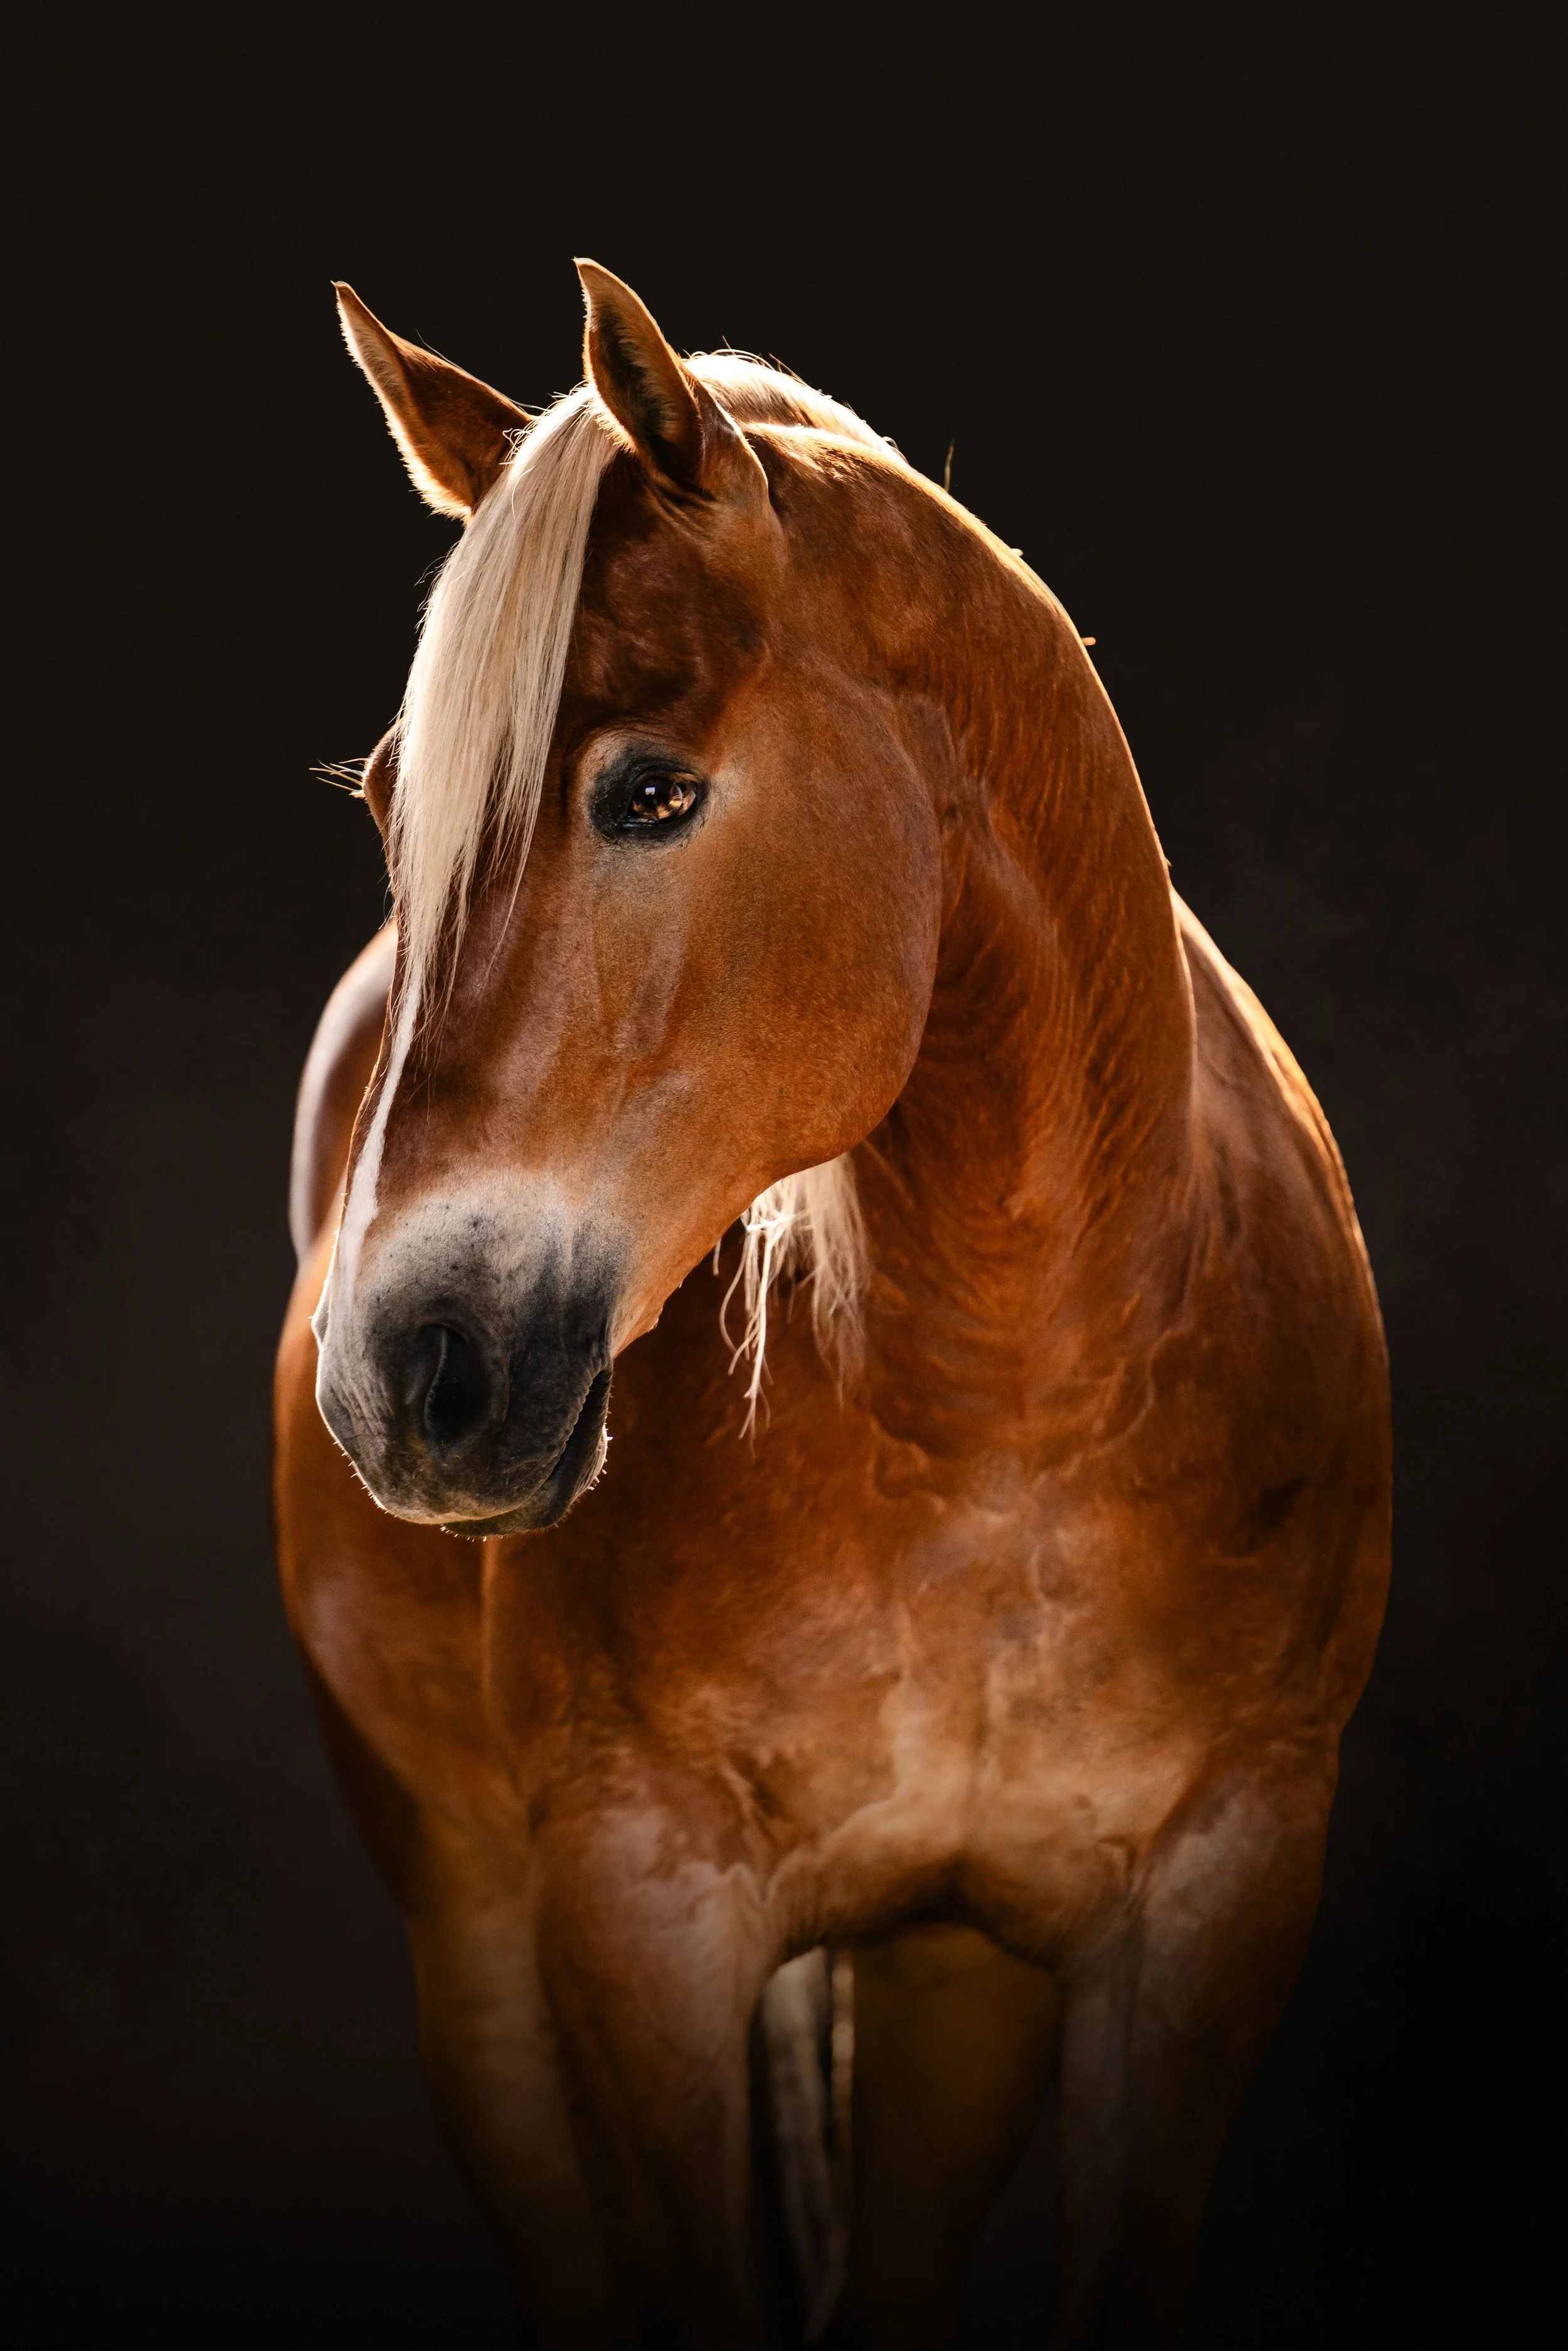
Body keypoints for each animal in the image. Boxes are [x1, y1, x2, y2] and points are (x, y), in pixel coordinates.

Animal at [273, 263, 1391, 2349]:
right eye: (393, 804)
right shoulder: (631, 1909)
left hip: (950, 1977)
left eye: (648, 789)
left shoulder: (1209, 1902)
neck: (1008, 1401)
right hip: (474, 1940)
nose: (401, 1376)